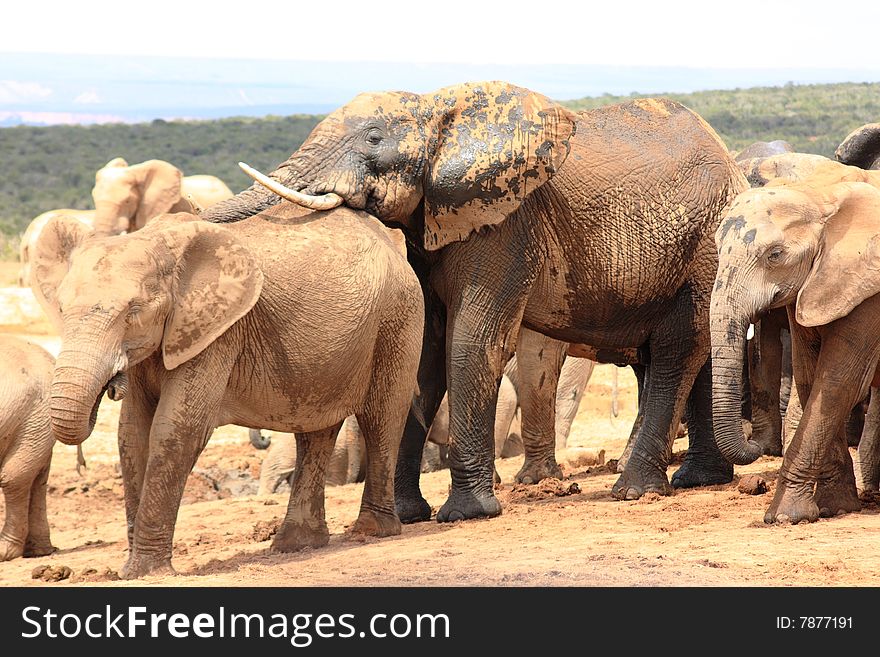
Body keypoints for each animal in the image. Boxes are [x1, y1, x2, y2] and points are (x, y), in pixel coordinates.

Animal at [29, 206, 422, 580]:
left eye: (134, 312)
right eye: (61, 308)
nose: (112, 385)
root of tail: (390, 242)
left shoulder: (217, 334)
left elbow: (176, 430)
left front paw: (145, 572)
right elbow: (132, 433)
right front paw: (129, 571)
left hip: (398, 316)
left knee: (381, 416)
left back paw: (372, 531)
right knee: (314, 433)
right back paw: (297, 545)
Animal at [206, 80, 748, 524]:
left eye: (374, 137)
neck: (437, 108)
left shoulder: (506, 222)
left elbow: (473, 342)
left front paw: (466, 514)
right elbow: (422, 355)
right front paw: (410, 516)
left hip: (704, 245)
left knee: (679, 348)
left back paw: (635, 491)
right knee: (694, 351)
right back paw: (698, 481)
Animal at [708, 159, 880, 524]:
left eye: (774, 255)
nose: (755, 441)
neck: (819, 196)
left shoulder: (871, 289)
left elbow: (837, 383)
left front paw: (784, 516)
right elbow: (809, 376)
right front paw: (834, 508)